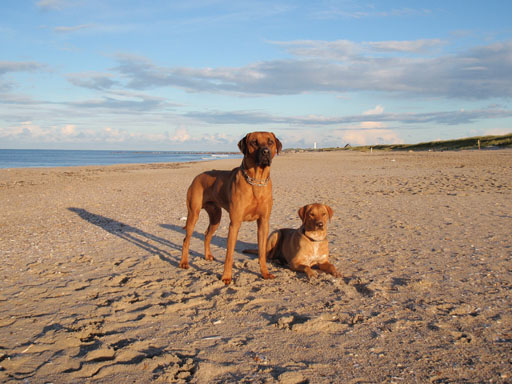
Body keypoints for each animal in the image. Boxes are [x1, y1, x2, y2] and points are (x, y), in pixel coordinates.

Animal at [179, 132, 284, 284]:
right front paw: (226, 277)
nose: (266, 152)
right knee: (186, 239)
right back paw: (184, 262)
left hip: (216, 216)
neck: (256, 181)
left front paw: (264, 273)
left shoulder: (264, 222)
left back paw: (207, 255)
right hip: (193, 214)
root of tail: (197, 176)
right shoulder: (235, 223)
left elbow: (262, 252)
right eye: (254, 142)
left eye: (270, 142)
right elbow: (229, 254)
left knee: (207, 235)